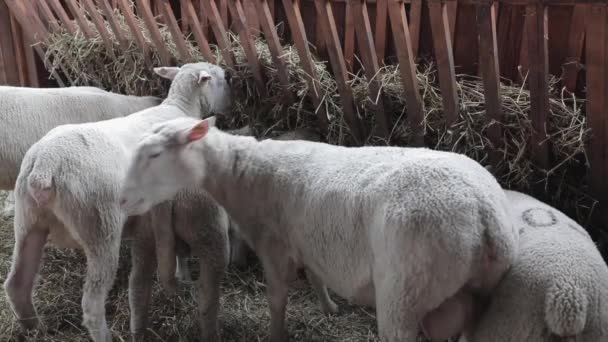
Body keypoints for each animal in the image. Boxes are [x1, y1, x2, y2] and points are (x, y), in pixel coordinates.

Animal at [116, 115, 516, 342]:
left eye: (154, 155)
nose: (121, 200)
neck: (240, 171)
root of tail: (485, 217)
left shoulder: (274, 246)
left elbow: (277, 299)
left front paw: (276, 336)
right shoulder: (308, 238)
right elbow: (316, 276)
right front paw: (329, 308)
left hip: (405, 289)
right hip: (474, 294)